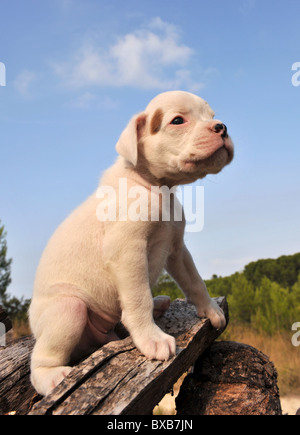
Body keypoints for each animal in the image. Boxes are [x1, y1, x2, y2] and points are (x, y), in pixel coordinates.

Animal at [28, 90, 234, 396]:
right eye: (177, 121)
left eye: (211, 116)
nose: (221, 127)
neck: (158, 187)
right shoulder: (127, 251)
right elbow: (138, 300)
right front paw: (152, 340)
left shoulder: (177, 249)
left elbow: (195, 281)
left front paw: (210, 310)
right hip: (68, 309)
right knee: (40, 360)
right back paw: (52, 377)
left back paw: (160, 302)